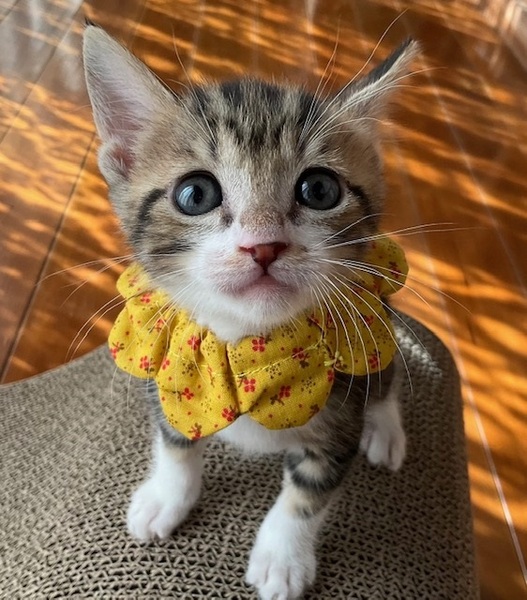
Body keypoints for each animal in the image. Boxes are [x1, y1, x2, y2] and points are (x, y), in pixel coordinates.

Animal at [83, 24, 417, 600]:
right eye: (195, 194)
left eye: (319, 189)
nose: (263, 246)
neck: (249, 345)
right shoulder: (166, 365)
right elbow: (175, 441)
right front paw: (166, 495)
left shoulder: (340, 418)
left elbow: (310, 492)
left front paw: (282, 556)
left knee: (388, 378)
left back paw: (386, 431)